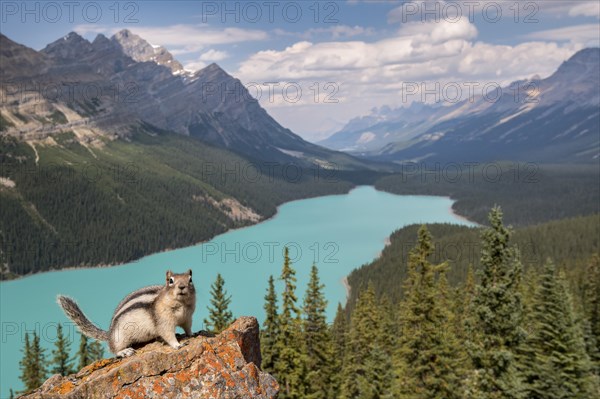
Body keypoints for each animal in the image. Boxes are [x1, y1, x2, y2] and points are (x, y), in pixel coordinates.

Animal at [58, 270, 196, 358]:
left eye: (190, 279)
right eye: (171, 281)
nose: (182, 286)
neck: (182, 305)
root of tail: (110, 334)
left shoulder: (187, 318)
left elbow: (188, 327)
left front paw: (192, 334)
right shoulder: (163, 320)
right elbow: (168, 334)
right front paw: (178, 344)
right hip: (120, 337)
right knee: (113, 349)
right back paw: (124, 352)